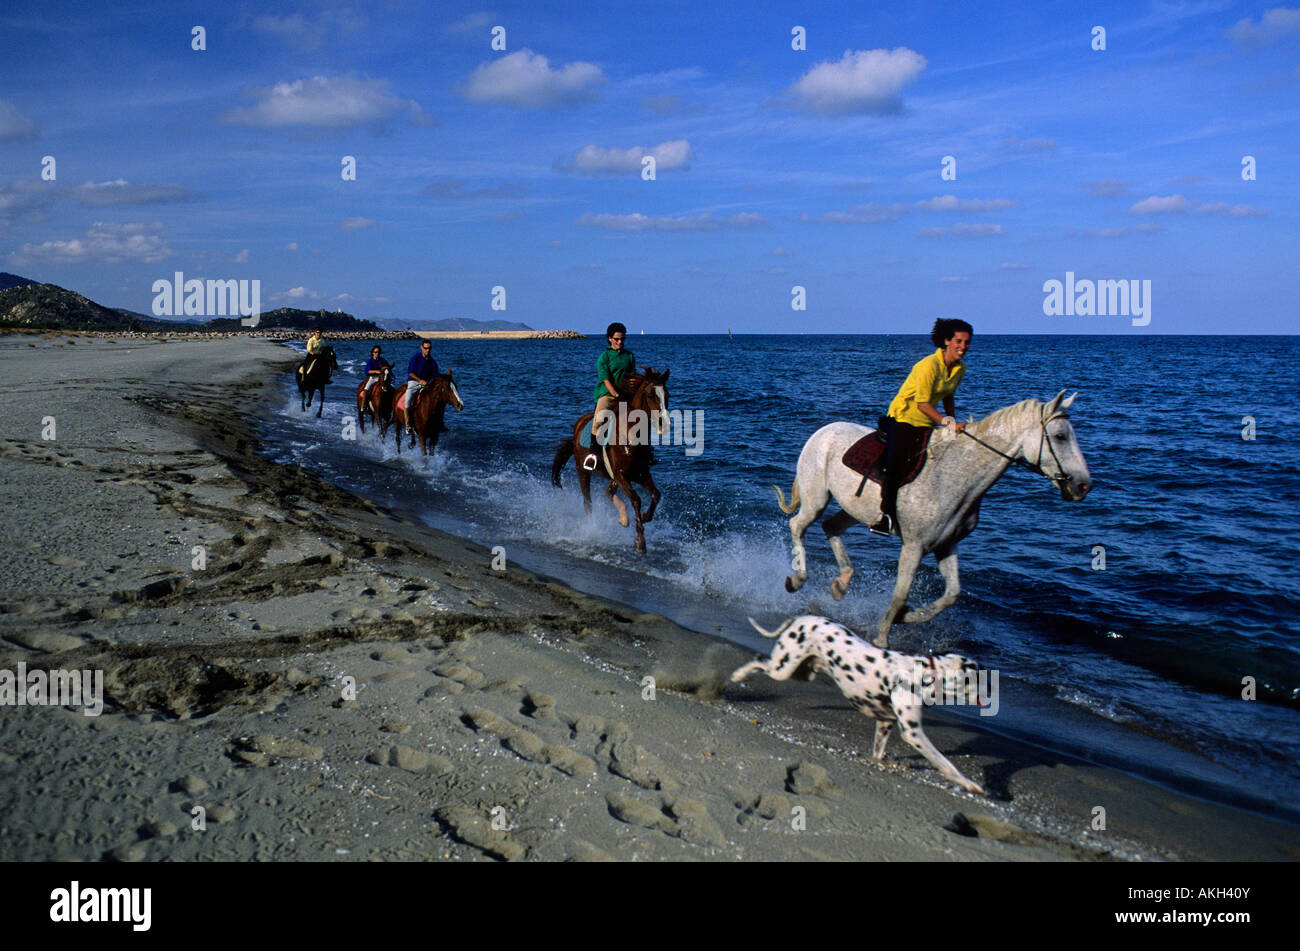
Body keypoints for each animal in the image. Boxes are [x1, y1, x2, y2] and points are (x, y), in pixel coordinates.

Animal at [550, 368, 669, 555]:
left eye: (667, 395)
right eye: (650, 395)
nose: (664, 424)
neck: (631, 437)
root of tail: (579, 424)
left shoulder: (640, 474)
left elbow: (655, 495)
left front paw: (644, 517)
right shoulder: (621, 476)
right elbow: (636, 500)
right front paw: (640, 541)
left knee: (608, 492)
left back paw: (623, 517)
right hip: (583, 470)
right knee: (588, 501)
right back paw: (592, 528)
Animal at [775, 391, 1091, 647]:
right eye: (1060, 436)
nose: (1083, 486)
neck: (957, 475)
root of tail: (821, 432)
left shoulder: (945, 545)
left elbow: (952, 594)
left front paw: (906, 617)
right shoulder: (914, 546)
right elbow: (901, 593)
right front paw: (883, 635)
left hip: (854, 508)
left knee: (831, 526)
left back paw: (841, 584)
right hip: (817, 499)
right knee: (797, 526)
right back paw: (797, 579)